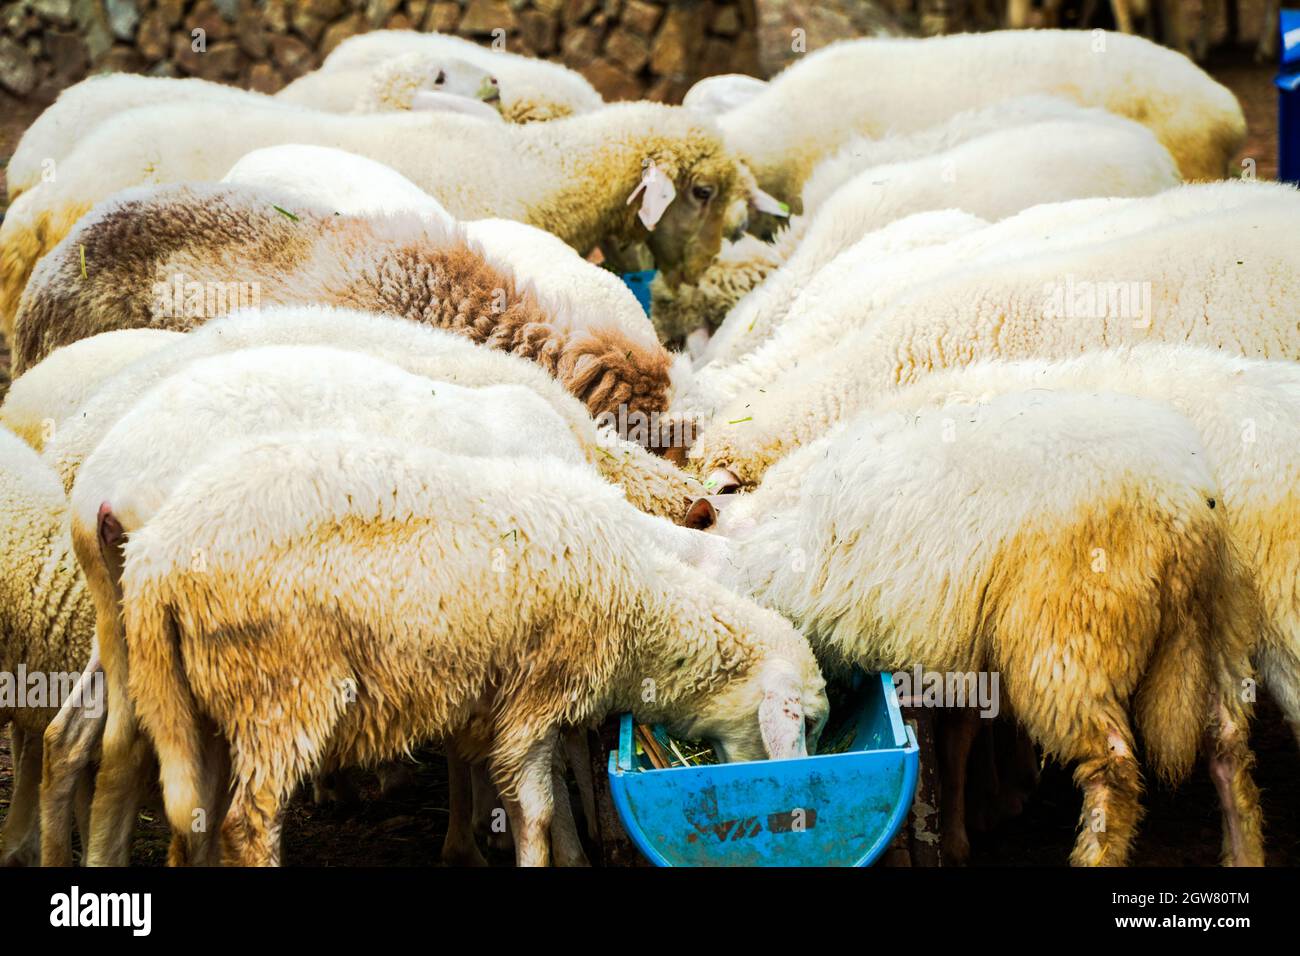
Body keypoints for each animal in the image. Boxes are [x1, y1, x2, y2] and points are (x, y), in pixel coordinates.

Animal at [118, 429, 827, 865]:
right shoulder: (537, 696)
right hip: (282, 691)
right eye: (812, 723)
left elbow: (526, 793)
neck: (644, 593)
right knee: (247, 823)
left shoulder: (497, 702)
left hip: (200, 705)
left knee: (194, 824)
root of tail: (155, 559)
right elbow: (536, 809)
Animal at [698, 389, 1261, 866]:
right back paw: (1244, 852)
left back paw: (1093, 853)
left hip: (1063, 640)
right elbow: (959, 741)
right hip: (1221, 625)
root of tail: (1181, 513)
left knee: (1114, 768)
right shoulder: (961, 650)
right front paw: (959, 834)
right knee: (1229, 745)